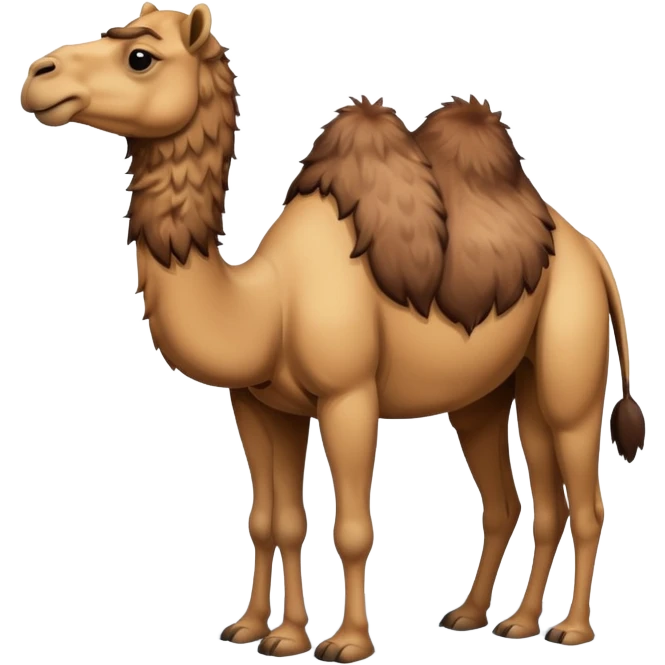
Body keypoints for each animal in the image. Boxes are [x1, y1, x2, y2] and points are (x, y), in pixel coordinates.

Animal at [20, 2, 646, 660]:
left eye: (140, 56)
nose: (38, 74)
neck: (267, 299)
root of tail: (587, 250)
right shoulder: (260, 405)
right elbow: (272, 522)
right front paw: (266, 632)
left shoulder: (350, 397)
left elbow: (351, 529)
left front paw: (346, 642)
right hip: (496, 390)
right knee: (518, 499)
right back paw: (496, 619)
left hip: (571, 346)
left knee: (584, 498)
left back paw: (571, 630)